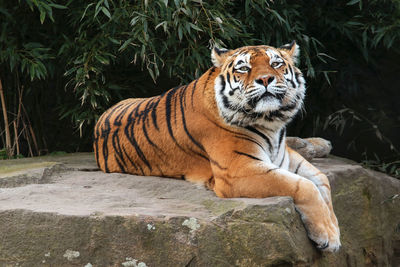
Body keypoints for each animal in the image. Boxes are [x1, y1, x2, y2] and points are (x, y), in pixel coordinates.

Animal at [94, 42, 340, 253]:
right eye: (244, 68)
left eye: (276, 64)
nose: (265, 79)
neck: (271, 123)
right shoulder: (238, 170)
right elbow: (305, 186)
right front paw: (328, 236)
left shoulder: (282, 157)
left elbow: (321, 180)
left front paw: (334, 229)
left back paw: (321, 143)